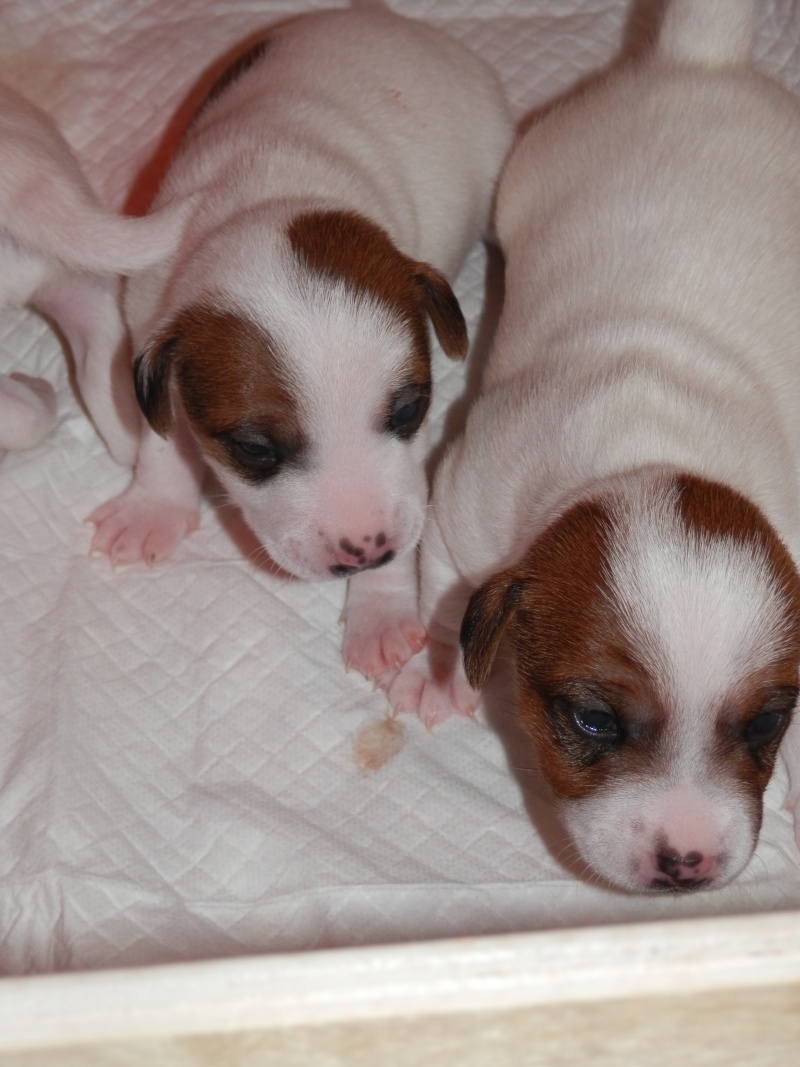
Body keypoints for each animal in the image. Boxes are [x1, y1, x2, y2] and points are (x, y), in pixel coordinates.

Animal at [87, 4, 514, 678]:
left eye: (409, 410)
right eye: (255, 449)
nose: (367, 551)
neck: (267, 198)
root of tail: (396, 23)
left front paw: (381, 610)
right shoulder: (149, 324)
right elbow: (159, 433)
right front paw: (151, 506)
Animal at [386, 0, 800, 896]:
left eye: (767, 719)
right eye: (593, 719)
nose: (687, 862)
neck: (642, 448)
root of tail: (702, 61)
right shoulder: (462, 505)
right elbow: (443, 593)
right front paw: (439, 673)